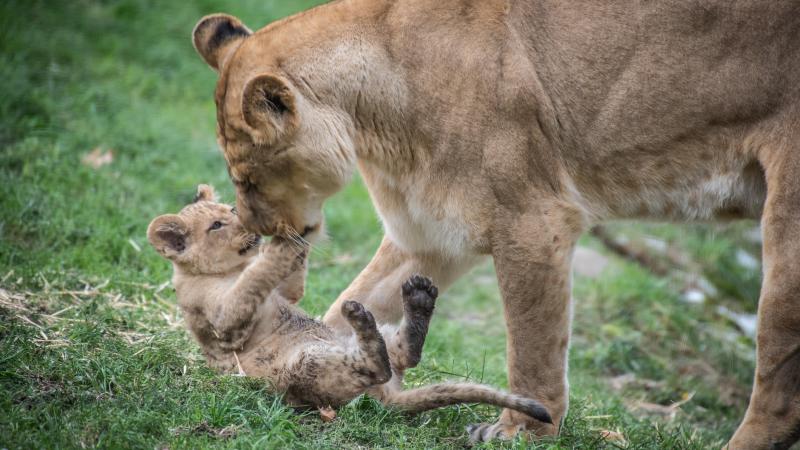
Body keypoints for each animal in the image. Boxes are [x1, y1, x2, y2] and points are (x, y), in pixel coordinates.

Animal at [146, 184, 552, 423]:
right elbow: (254, 279)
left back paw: (418, 297)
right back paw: (364, 320)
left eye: (229, 211)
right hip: (303, 366)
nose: (244, 220)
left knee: (403, 355)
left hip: (365, 343)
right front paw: (279, 244)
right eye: (216, 225)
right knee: (375, 367)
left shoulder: (288, 295)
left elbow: (287, 277)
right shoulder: (224, 323)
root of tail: (386, 398)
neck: (226, 269)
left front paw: (302, 224)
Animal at [191, 2, 800, 448]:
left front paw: (521, 432)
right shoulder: (428, 236)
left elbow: (533, 349)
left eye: (248, 177)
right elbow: (345, 309)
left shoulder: (534, 223)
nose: (256, 231)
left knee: (779, 386)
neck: (375, 120)